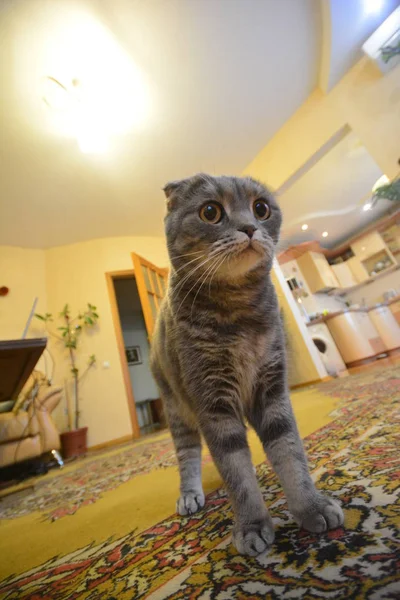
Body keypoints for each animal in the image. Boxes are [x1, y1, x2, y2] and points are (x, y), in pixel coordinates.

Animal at [150, 175, 344, 556]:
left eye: (261, 208)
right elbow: (236, 474)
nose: (250, 228)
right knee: (188, 455)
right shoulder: (214, 406)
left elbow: (290, 454)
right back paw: (190, 494)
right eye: (211, 211)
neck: (238, 311)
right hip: (177, 409)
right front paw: (253, 525)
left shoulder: (272, 391)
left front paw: (311, 507)